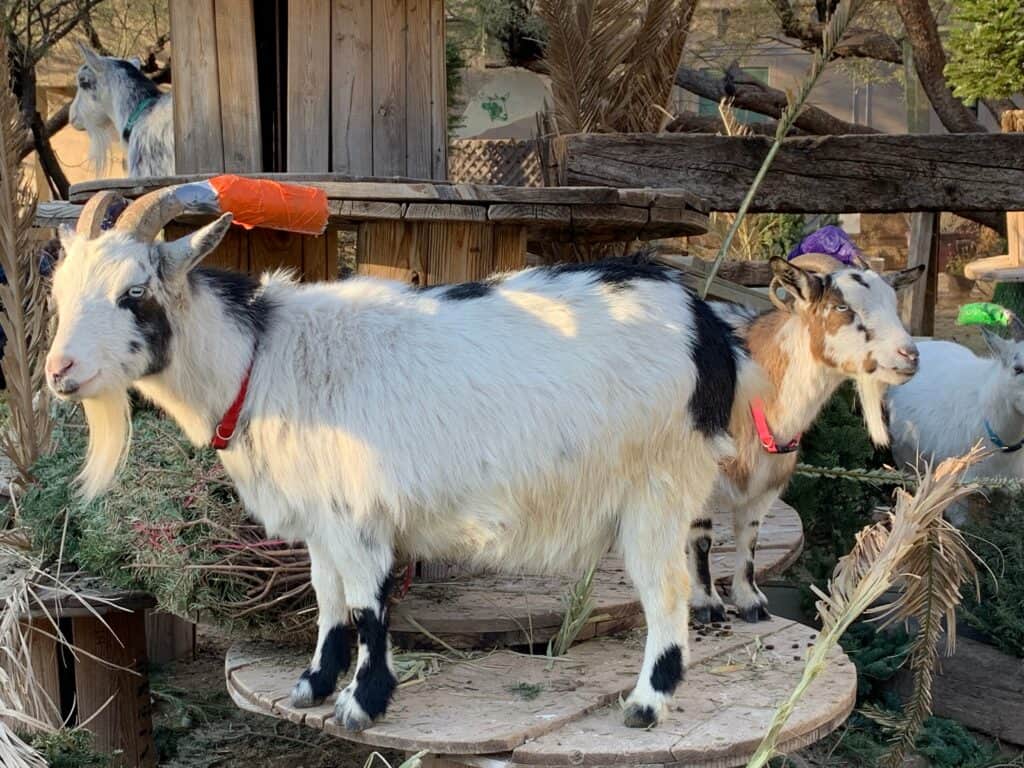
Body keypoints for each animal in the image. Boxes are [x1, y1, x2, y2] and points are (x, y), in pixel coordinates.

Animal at [46, 184, 761, 731]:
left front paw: (362, 703)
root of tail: (705, 326)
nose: (59, 371)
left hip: (658, 486)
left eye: (135, 291)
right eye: (59, 292)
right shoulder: (321, 519)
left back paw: (647, 703)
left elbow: (365, 606)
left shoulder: (358, 516)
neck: (262, 361)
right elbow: (327, 597)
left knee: (666, 588)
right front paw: (312, 685)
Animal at [687, 255, 923, 624]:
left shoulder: (769, 483)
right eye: (842, 306)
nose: (909, 355)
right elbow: (701, 539)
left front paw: (751, 602)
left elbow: (749, 537)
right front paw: (706, 605)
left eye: (894, 305)